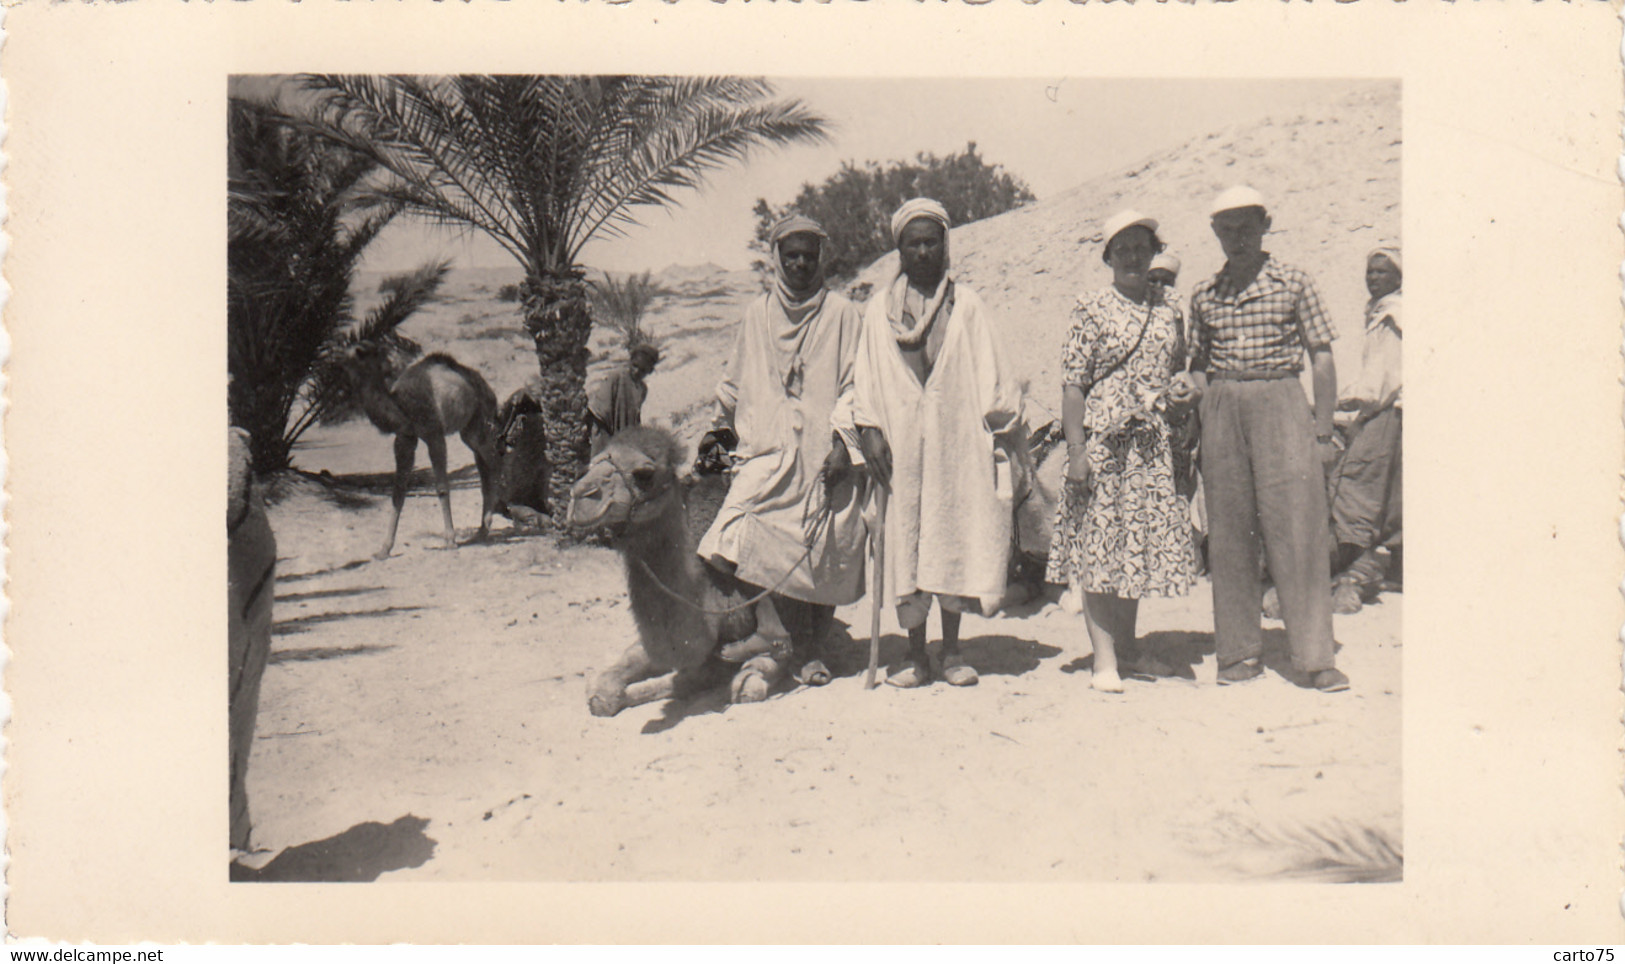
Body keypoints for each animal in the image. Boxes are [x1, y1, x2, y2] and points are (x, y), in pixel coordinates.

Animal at [339, 344, 497, 555]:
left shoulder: (434, 434)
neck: (403, 407)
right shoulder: (405, 437)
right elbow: (398, 492)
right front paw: (384, 549)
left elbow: (442, 487)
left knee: (493, 459)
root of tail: (488, 388)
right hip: (469, 430)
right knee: (483, 465)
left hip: (481, 417)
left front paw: (450, 540)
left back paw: (488, 527)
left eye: (361, 354)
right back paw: (481, 530)